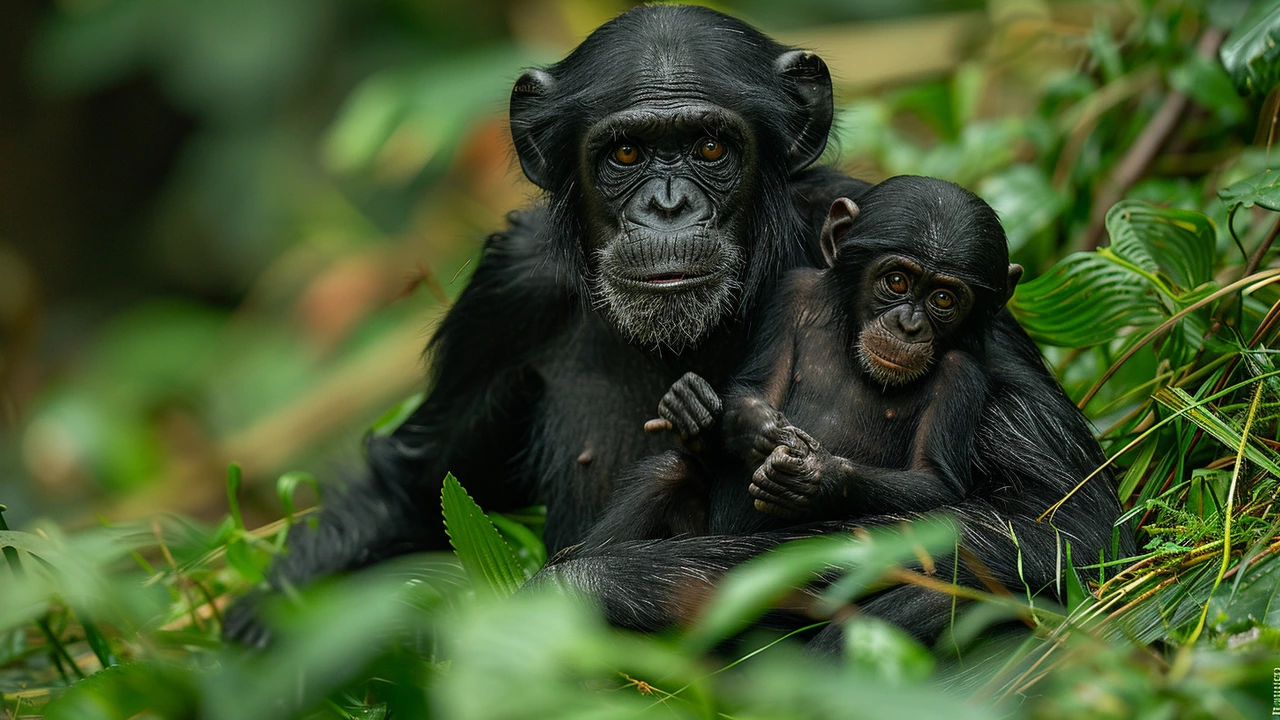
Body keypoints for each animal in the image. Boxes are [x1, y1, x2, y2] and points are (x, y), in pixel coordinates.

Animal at [225, 4, 875, 645]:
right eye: (626, 154)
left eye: (711, 148)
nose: (667, 207)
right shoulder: (505, 297)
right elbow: (414, 493)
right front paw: (258, 627)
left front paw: (557, 598)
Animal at [535, 176, 1136, 640]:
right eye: (896, 280)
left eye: (944, 298)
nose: (908, 325)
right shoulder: (792, 293)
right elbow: (755, 386)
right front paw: (720, 417)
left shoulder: (969, 375)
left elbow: (1027, 516)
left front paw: (817, 476)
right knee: (665, 472)